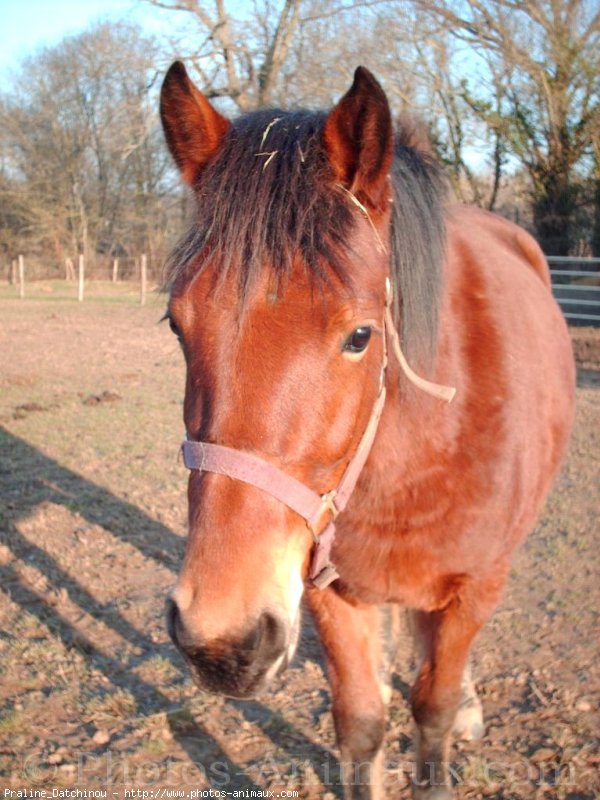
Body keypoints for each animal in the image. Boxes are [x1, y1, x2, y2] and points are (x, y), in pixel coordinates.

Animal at [159, 64, 576, 800]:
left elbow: (433, 712)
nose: (221, 641)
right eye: (177, 324)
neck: (421, 454)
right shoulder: (327, 594)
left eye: (360, 335)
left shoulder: (476, 586)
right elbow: (360, 723)